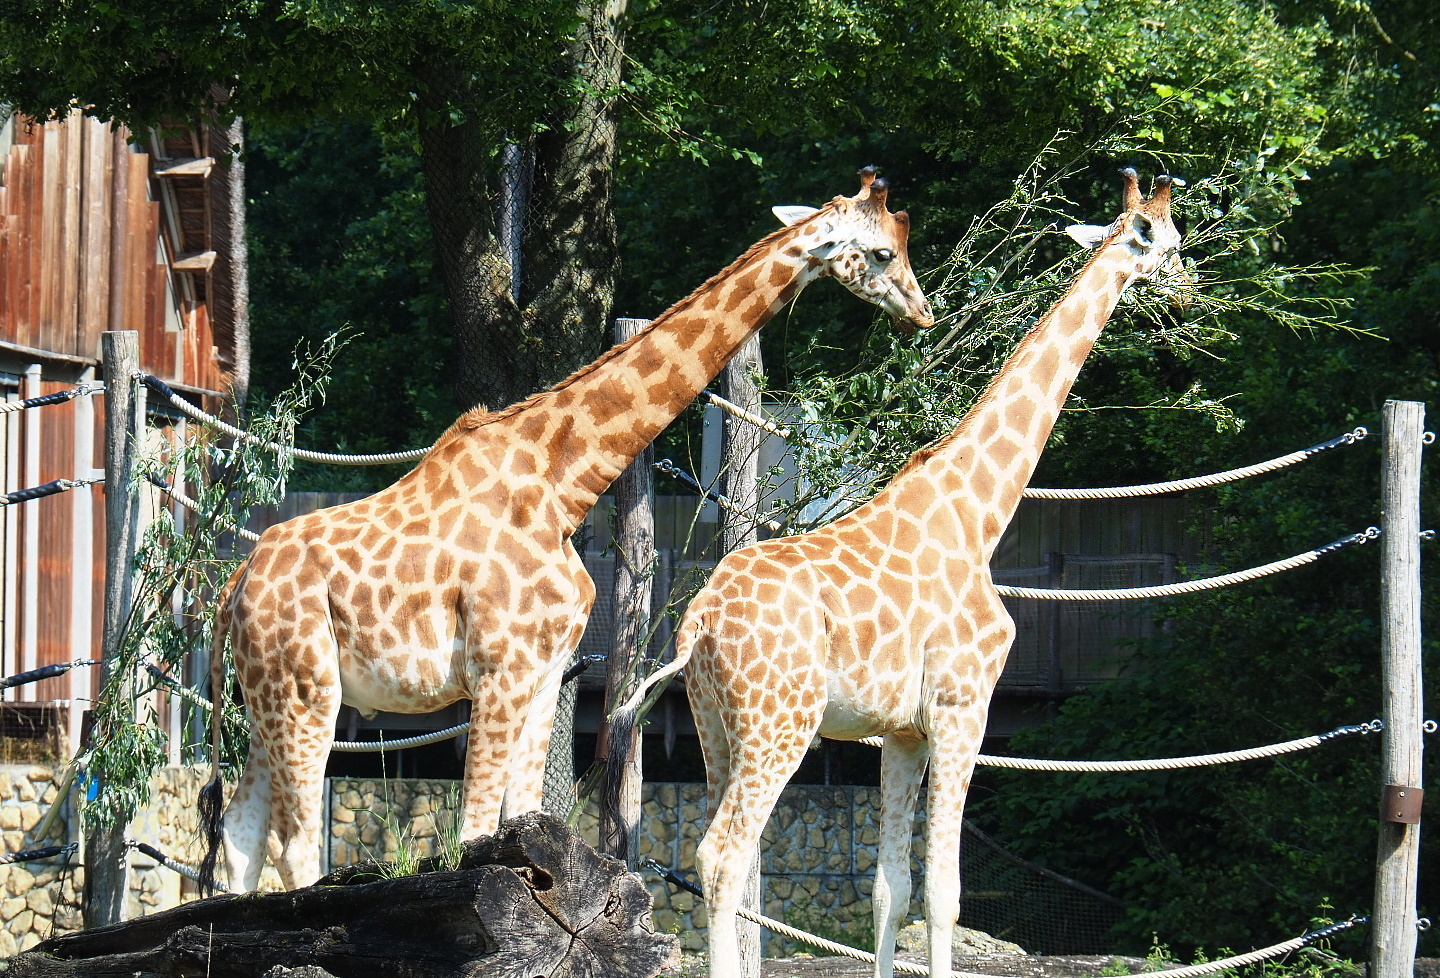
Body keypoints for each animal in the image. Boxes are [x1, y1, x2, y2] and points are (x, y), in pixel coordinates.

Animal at [196, 168, 934, 894]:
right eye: (882, 253)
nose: (922, 313)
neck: (562, 490)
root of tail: (234, 588)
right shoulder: (498, 668)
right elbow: (471, 834)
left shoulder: (544, 672)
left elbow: (521, 822)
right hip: (306, 689)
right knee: (292, 842)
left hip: (266, 696)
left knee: (239, 832)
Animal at [608, 170, 1185, 978]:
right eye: (1168, 242)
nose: (1189, 289)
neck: (978, 513)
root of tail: (698, 620)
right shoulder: (962, 707)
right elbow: (945, 891)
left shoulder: (901, 732)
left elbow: (890, 889)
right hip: (781, 725)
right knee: (722, 856)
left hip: (716, 724)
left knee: (719, 853)